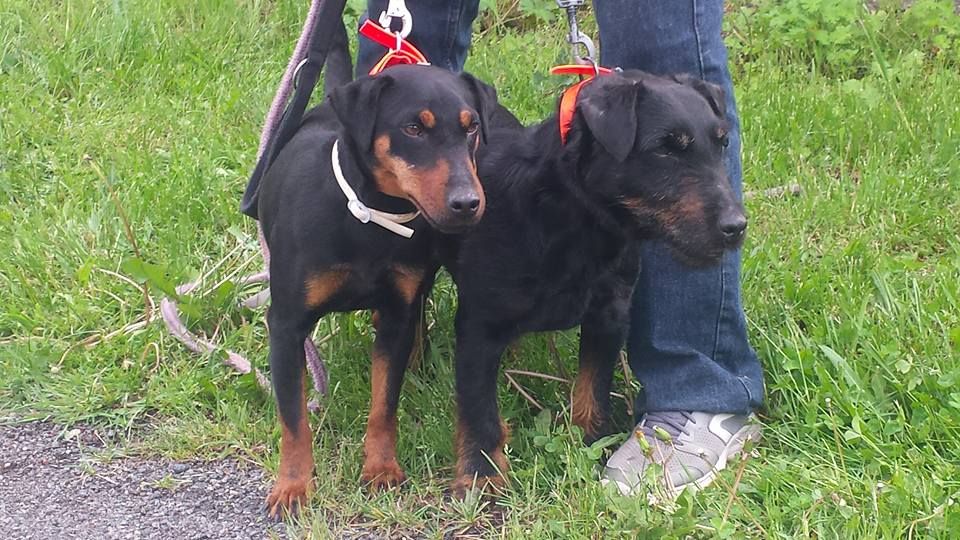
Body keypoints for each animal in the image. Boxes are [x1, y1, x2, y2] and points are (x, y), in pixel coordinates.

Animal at [442, 69, 752, 496]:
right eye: (666, 149)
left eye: (721, 143)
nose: (736, 226)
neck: (571, 216)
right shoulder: (478, 328)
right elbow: (478, 408)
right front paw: (481, 476)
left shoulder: (610, 315)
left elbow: (592, 386)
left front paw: (590, 441)